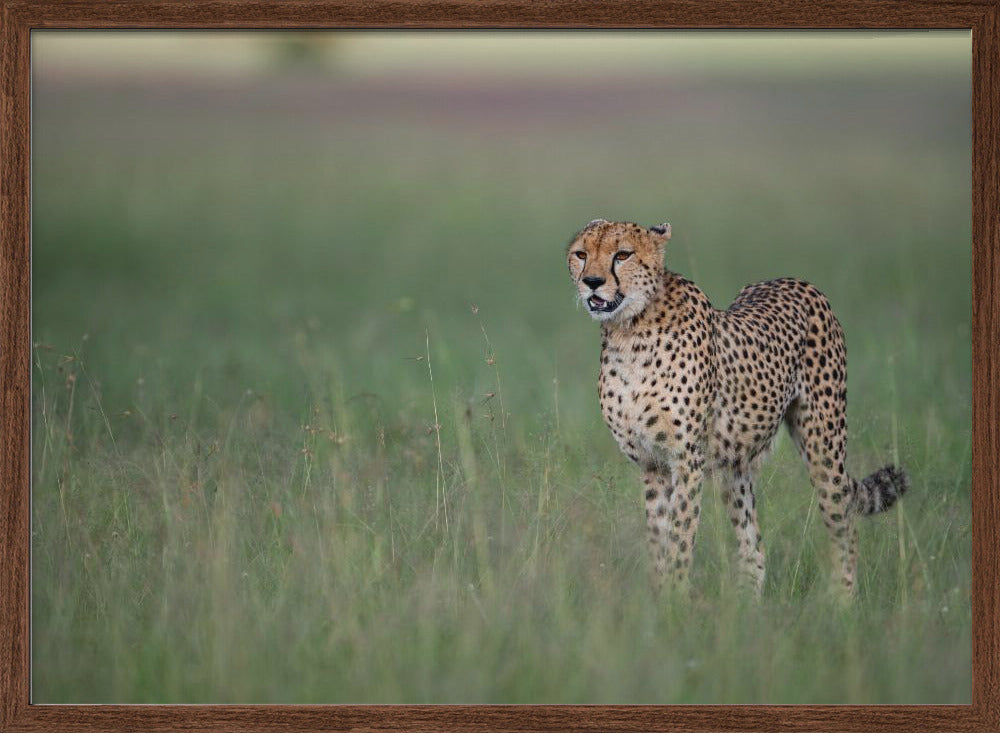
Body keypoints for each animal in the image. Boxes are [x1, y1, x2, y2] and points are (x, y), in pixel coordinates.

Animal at [566, 218, 908, 597]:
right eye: (581, 254)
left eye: (622, 255)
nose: (591, 282)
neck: (629, 331)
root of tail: (793, 280)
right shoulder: (652, 463)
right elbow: (658, 538)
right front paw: (658, 599)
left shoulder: (687, 460)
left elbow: (680, 538)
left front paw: (674, 600)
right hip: (736, 467)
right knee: (754, 548)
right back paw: (748, 606)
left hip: (824, 446)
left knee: (843, 523)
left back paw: (841, 601)